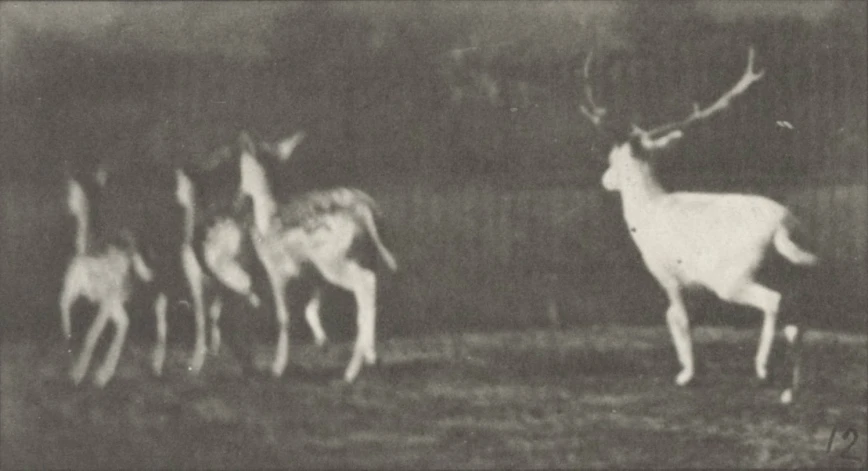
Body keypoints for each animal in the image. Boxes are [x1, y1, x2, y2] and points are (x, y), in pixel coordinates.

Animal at [237, 129, 400, 384]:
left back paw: (351, 371)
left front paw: (277, 368)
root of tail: (364, 210)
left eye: (242, 168)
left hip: (334, 261)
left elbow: (284, 317)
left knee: (364, 285)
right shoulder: (314, 273)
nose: (239, 193)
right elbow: (310, 308)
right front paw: (322, 342)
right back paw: (371, 356)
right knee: (370, 289)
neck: (267, 215)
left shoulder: (275, 269)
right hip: (361, 257)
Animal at [580, 46, 816, 404]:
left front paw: (686, 375)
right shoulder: (691, 283)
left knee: (773, 302)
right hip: (793, 275)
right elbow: (678, 318)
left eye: (613, 159)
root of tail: (783, 227)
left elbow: (678, 317)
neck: (648, 212)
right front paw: (688, 369)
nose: (605, 180)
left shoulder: (667, 274)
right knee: (797, 322)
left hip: (732, 277)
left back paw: (762, 369)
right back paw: (791, 391)